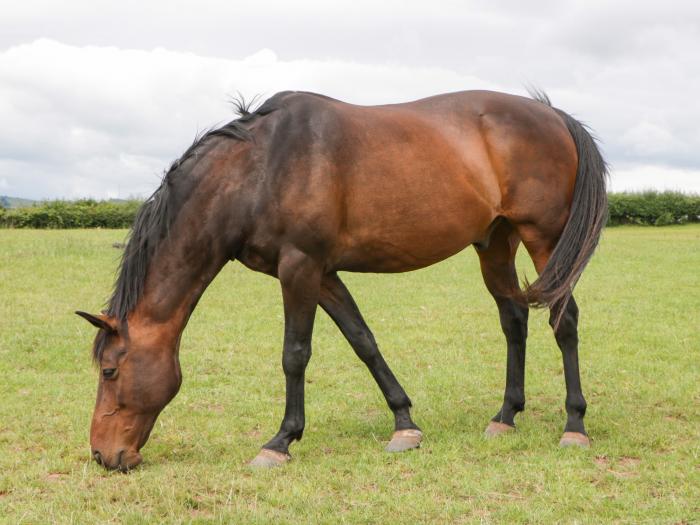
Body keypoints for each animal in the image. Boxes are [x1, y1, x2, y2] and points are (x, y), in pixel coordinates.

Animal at [76, 89, 608, 470]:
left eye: (110, 372)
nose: (103, 456)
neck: (258, 169)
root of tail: (553, 115)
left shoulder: (299, 268)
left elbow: (294, 354)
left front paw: (281, 441)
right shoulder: (324, 273)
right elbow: (363, 341)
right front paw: (404, 424)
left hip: (544, 238)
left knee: (565, 321)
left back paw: (574, 425)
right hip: (495, 242)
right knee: (514, 318)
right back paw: (505, 417)